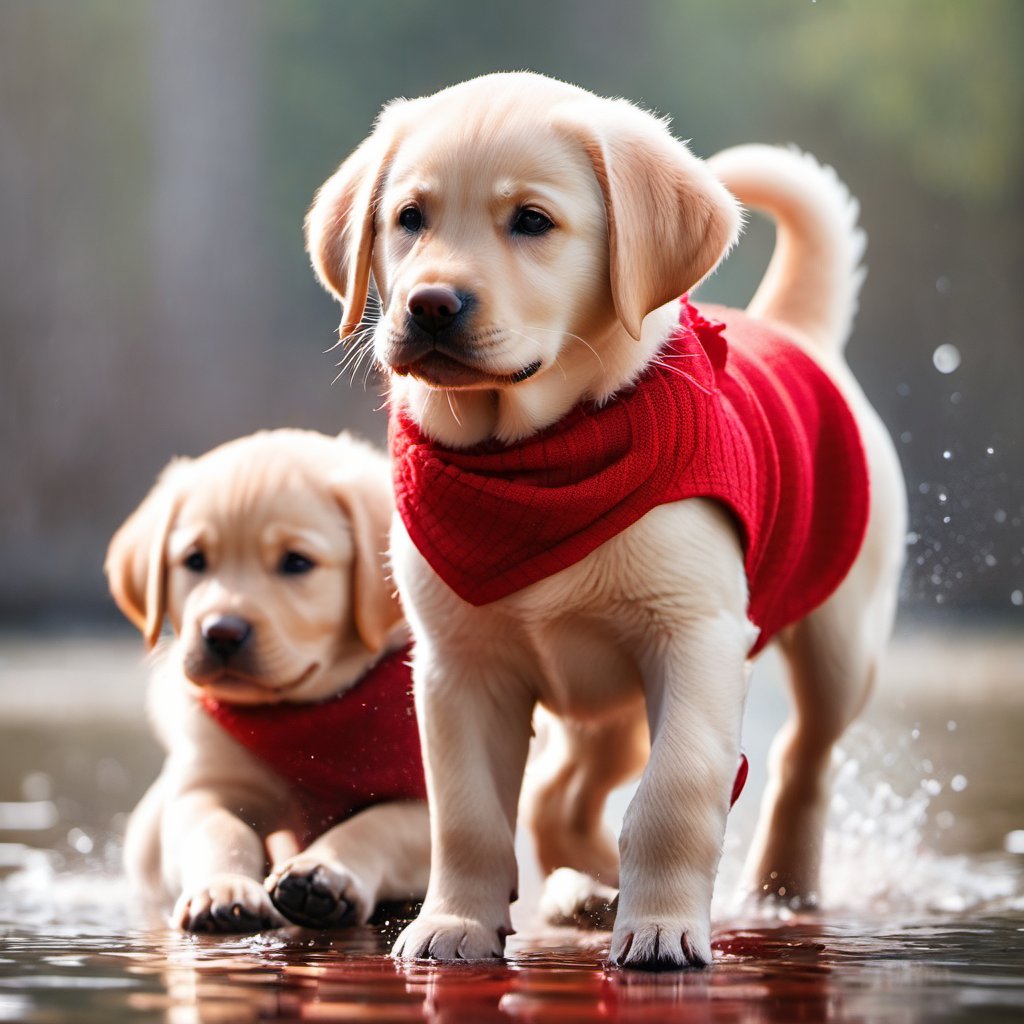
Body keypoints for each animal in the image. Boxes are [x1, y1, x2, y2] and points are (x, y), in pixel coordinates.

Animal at [108, 428, 432, 933]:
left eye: (296, 563)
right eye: (194, 561)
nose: (222, 632)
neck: (304, 715)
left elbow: (378, 824)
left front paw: (323, 872)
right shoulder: (203, 789)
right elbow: (221, 830)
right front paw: (222, 889)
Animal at [307, 72, 909, 966]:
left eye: (532, 221)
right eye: (409, 217)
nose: (431, 305)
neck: (537, 458)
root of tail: (790, 328)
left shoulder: (694, 639)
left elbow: (675, 791)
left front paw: (661, 927)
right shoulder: (458, 666)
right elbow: (468, 813)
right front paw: (455, 924)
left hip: (840, 641)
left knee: (804, 755)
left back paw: (775, 888)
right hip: (602, 697)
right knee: (561, 798)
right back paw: (587, 890)